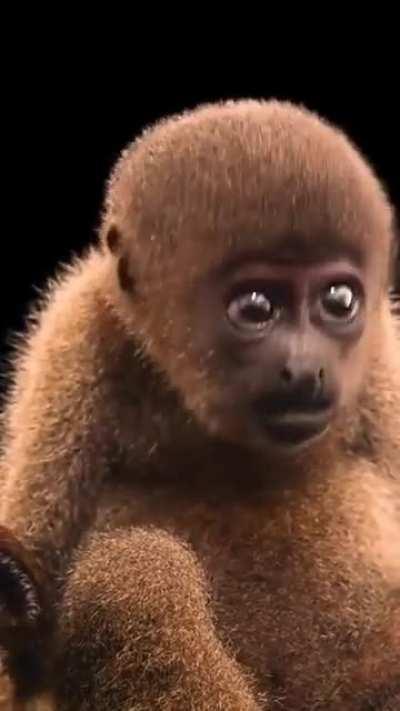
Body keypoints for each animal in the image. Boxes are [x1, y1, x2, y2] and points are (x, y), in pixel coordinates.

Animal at [0, 98, 399, 710]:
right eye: (255, 307)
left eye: (338, 300)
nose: (306, 367)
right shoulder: (70, 350)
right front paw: (14, 599)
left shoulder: (384, 368)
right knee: (133, 576)